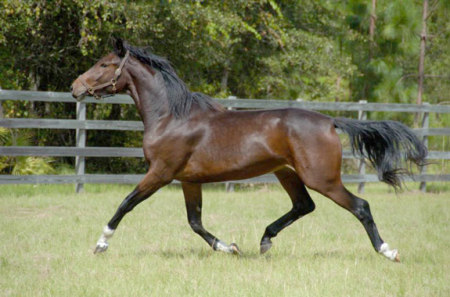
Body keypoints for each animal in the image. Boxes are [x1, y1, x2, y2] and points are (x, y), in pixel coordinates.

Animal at [69, 38, 426, 260]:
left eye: (104, 64)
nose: (75, 87)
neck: (172, 117)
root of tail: (329, 121)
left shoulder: (160, 173)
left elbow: (126, 204)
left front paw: (101, 244)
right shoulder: (188, 180)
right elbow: (195, 222)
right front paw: (230, 248)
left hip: (321, 178)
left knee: (360, 206)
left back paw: (388, 251)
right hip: (287, 174)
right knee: (304, 206)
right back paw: (265, 240)